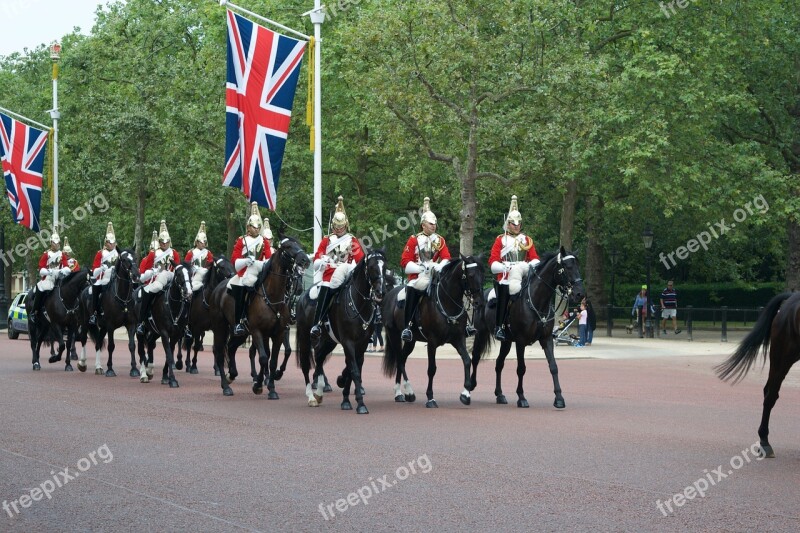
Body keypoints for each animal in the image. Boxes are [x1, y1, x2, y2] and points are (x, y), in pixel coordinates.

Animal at [209, 236, 310, 394]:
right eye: (287, 246)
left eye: (298, 244)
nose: (305, 260)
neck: (272, 297)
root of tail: (218, 289)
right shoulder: (257, 331)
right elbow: (263, 357)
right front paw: (259, 385)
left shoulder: (279, 332)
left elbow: (273, 359)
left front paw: (271, 386)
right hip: (221, 327)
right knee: (219, 353)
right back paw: (226, 386)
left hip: (242, 332)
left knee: (231, 348)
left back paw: (232, 374)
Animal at [298, 248, 390, 412]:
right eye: (372, 266)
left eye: (384, 266)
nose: (381, 292)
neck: (359, 303)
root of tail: (302, 296)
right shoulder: (348, 341)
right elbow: (353, 369)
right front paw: (360, 404)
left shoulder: (362, 343)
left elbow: (353, 368)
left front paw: (345, 397)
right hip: (305, 338)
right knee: (305, 364)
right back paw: (311, 397)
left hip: (329, 341)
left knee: (319, 358)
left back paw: (319, 392)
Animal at [382, 255, 488, 408]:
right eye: (471, 275)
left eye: (483, 274)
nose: (480, 302)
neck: (447, 303)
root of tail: (389, 294)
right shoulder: (432, 342)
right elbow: (432, 369)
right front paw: (430, 398)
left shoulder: (458, 339)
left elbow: (467, 360)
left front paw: (465, 394)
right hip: (394, 335)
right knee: (399, 360)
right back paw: (408, 391)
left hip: (411, 341)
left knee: (402, 358)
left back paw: (400, 393)